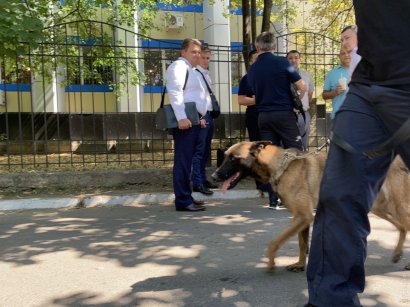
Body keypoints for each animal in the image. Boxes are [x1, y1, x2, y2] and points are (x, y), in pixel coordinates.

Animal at [213, 141, 408, 272]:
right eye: (225, 156)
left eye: (234, 158)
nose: (214, 177)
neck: (279, 165)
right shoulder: (302, 219)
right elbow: (302, 243)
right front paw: (300, 264)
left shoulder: (303, 216)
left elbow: (274, 242)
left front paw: (270, 262)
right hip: (380, 208)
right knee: (403, 227)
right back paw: (397, 253)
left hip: (397, 205)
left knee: (406, 224)